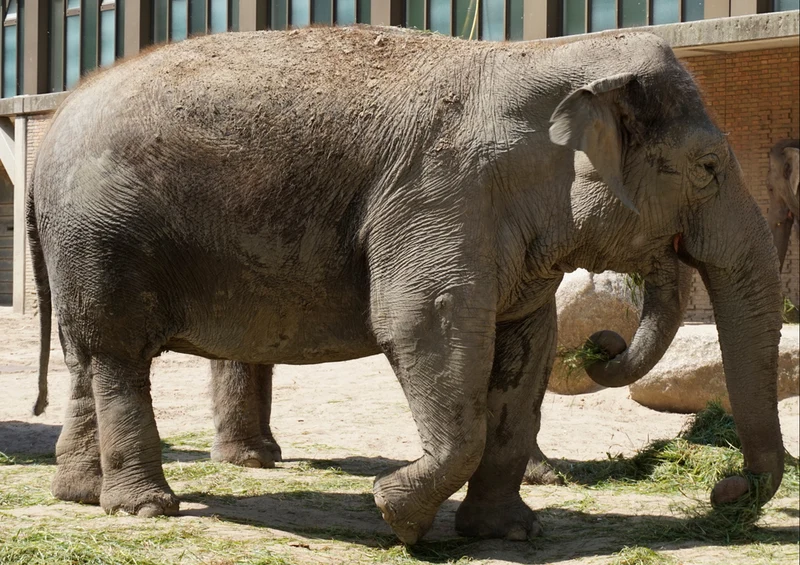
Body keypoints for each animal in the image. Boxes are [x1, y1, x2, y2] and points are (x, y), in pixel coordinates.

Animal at [27, 26, 785, 544]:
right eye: (709, 167)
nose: (726, 490)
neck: (540, 56)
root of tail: (52, 128)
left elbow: (527, 352)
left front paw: (508, 532)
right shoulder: (439, 197)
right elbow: (429, 328)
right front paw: (394, 512)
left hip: (83, 244)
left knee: (86, 357)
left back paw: (80, 494)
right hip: (106, 237)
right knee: (119, 352)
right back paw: (146, 506)